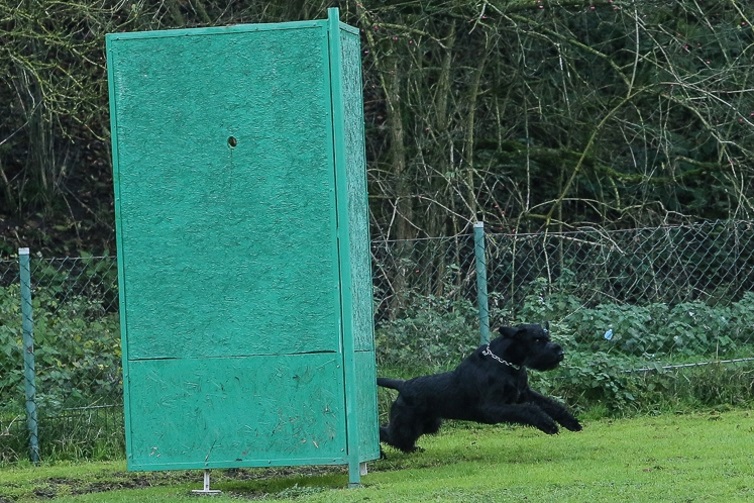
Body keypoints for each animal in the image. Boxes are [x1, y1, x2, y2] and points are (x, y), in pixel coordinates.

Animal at [376, 324, 580, 454]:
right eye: (537, 340)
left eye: (547, 338)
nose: (560, 353)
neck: (507, 364)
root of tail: (402, 384)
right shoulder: (492, 408)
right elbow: (528, 410)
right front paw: (547, 424)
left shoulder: (524, 393)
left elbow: (550, 405)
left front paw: (571, 422)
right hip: (407, 424)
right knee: (388, 434)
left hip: (429, 424)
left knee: (399, 439)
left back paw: (413, 449)